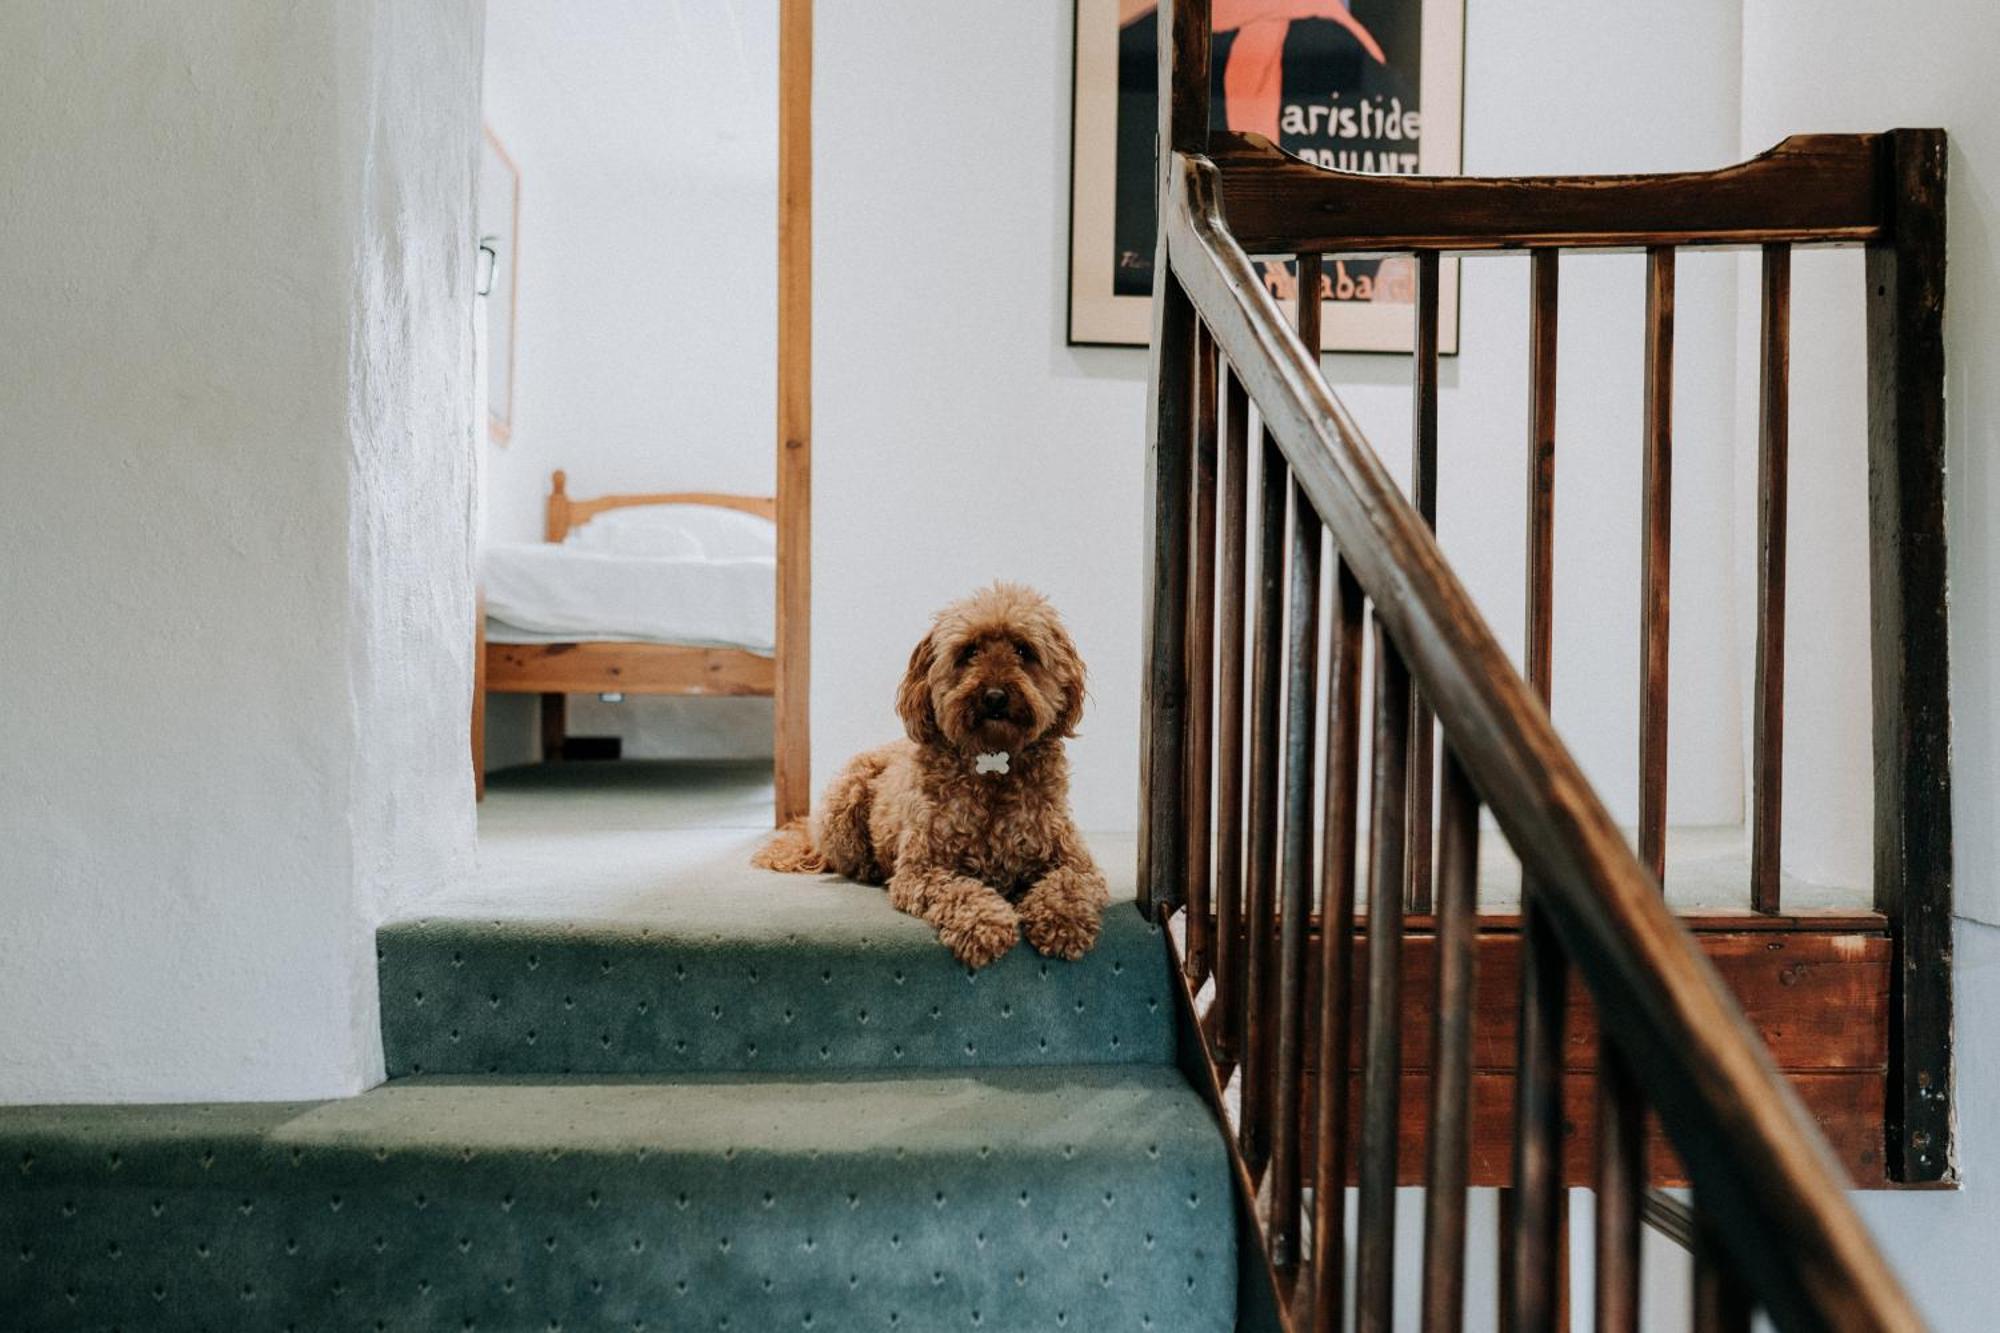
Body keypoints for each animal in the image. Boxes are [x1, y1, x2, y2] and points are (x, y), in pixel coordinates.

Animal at [756, 580, 1120, 964]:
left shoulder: (1074, 861)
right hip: (845, 800)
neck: (992, 761)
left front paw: (1064, 922)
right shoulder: (922, 870)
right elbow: (962, 891)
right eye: (969, 651)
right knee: (845, 860)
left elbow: (1068, 884)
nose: (994, 696)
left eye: (1024, 650)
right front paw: (985, 925)